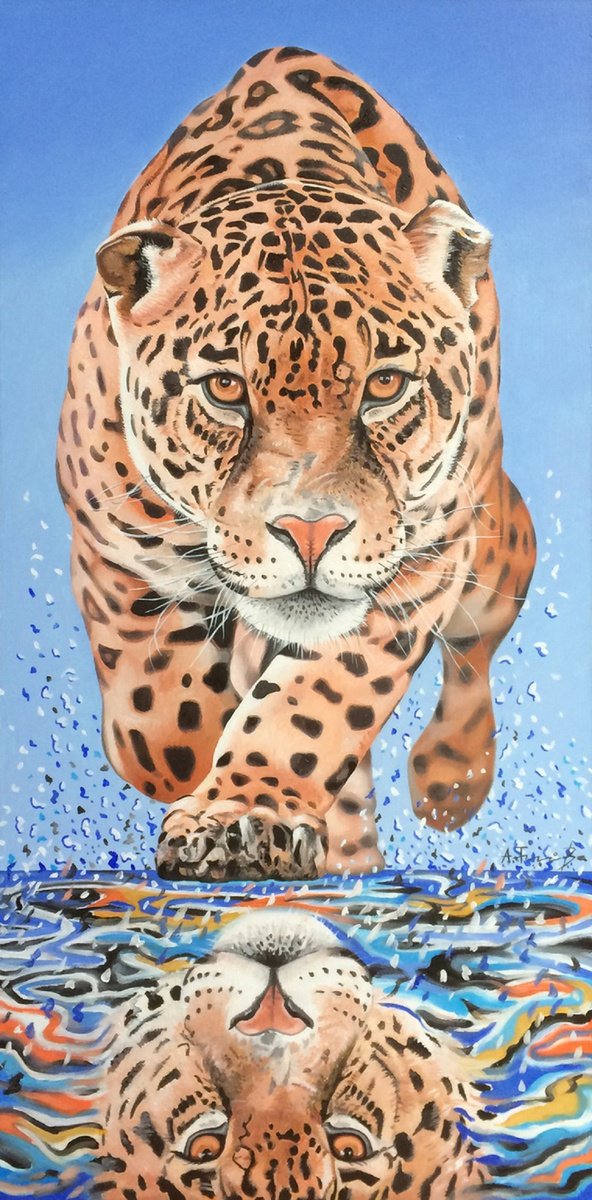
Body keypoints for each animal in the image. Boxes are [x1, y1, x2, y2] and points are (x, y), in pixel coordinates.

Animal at [57, 46, 536, 881]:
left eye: (385, 385)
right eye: (225, 388)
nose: (310, 535)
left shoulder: (413, 570)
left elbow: (315, 699)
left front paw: (242, 816)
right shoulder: (112, 544)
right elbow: (159, 721)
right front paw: (197, 759)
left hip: (490, 544)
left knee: (484, 632)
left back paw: (449, 781)